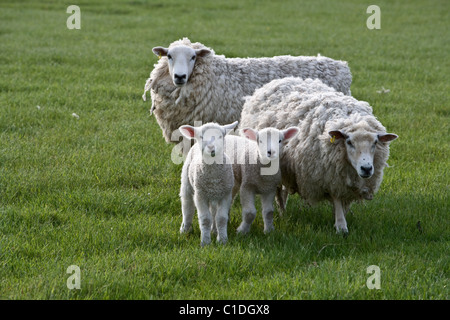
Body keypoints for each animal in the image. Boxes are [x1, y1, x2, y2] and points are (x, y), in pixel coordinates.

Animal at [239, 77, 398, 232]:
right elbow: (337, 199)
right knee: (279, 192)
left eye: (375, 142)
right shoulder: (330, 176)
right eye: (349, 142)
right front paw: (341, 226)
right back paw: (282, 213)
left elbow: (343, 203)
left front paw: (341, 218)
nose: (366, 168)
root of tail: (280, 80)